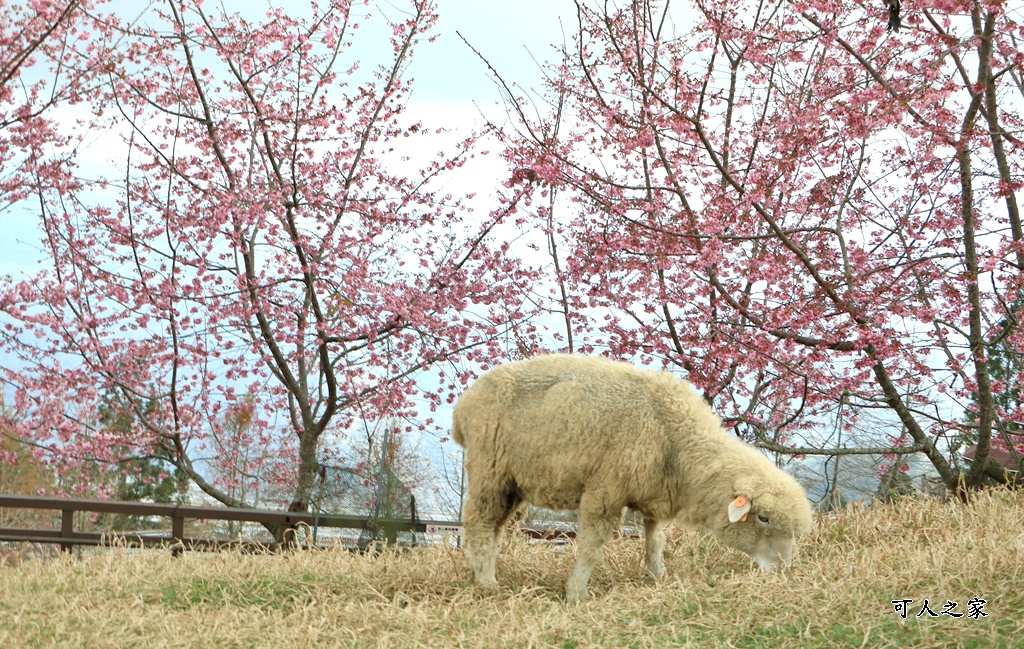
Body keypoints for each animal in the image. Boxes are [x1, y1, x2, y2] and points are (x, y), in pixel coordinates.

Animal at [452, 354, 811, 601]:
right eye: (763, 517)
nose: (784, 570)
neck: (677, 439)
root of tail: (462, 405)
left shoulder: (653, 494)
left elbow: (655, 542)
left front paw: (659, 576)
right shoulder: (605, 489)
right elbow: (592, 546)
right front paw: (576, 592)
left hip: (512, 482)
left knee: (496, 527)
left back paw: (484, 573)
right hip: (489, 469)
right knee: (479, 523)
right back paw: (487, 583)